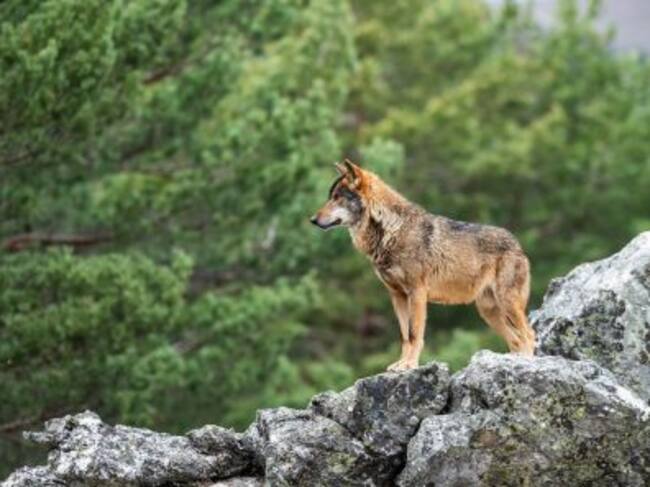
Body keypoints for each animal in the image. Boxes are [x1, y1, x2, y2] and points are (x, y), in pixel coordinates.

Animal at [310, 160, 536, 371]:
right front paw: (401, 364)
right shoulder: (397, 296)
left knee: (529, 334)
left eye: (337, 197)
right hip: (489, 312)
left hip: (507, 303)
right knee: (516, 339)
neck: (391, 230)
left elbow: (414, 334)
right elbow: (404, 336)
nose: (312, 219)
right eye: (330, 196)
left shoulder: (417, 292)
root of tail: (518, 245)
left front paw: (409, 365)